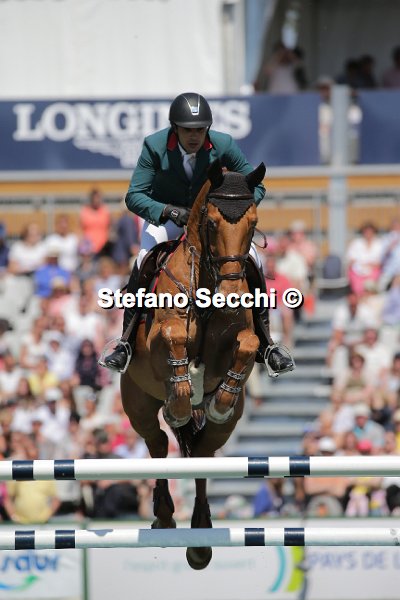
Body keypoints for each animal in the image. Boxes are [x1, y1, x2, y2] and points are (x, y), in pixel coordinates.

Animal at [121, 159, 266, 569]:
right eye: (212, 224)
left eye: (253, 223)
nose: (230, 297)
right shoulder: (159, 341)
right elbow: (173, 339)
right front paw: (181, 398)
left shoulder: (240, 339)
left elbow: (249, 344)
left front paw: (220, 399)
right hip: (137, 403)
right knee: (157, 444)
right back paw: (164, 514)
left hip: (227, 427)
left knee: (201, 456)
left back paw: (200, 540)